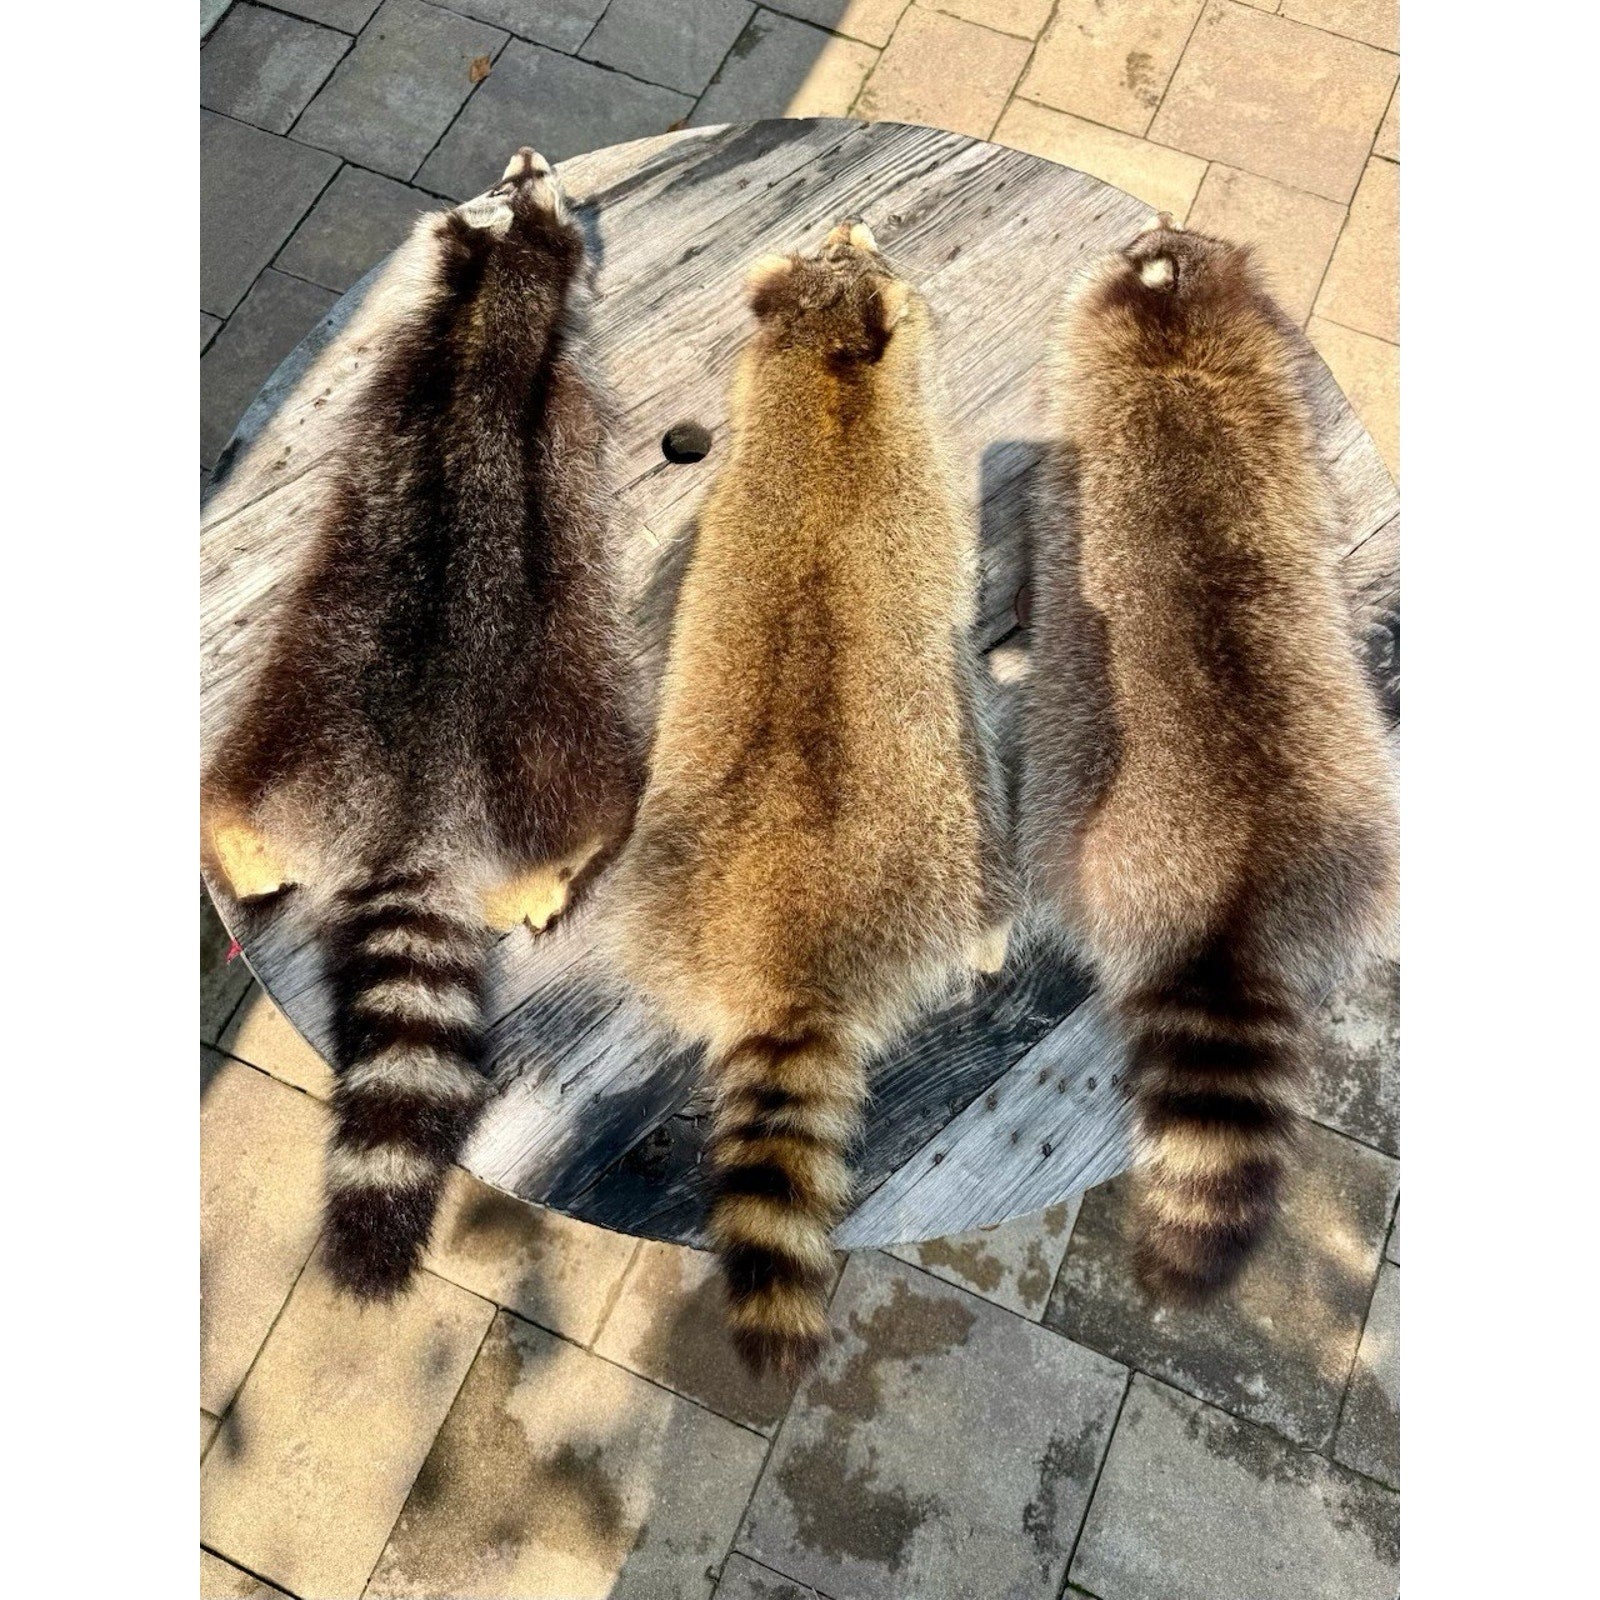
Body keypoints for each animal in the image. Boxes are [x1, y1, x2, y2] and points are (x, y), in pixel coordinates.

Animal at [202, 150, 641, 1299]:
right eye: (518, 177)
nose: (530, 158)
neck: (489, 320)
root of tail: (415, 807)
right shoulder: (548, 376)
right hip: (560, 726)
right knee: (600, 797)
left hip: (290, 716)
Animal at [606, 222, 1012, 1374]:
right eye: (872, 256)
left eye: (845, 245)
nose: (862, 226)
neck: (822, 375)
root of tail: (785, 947)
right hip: (955, 811)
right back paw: (996, 933)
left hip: (664, 872)